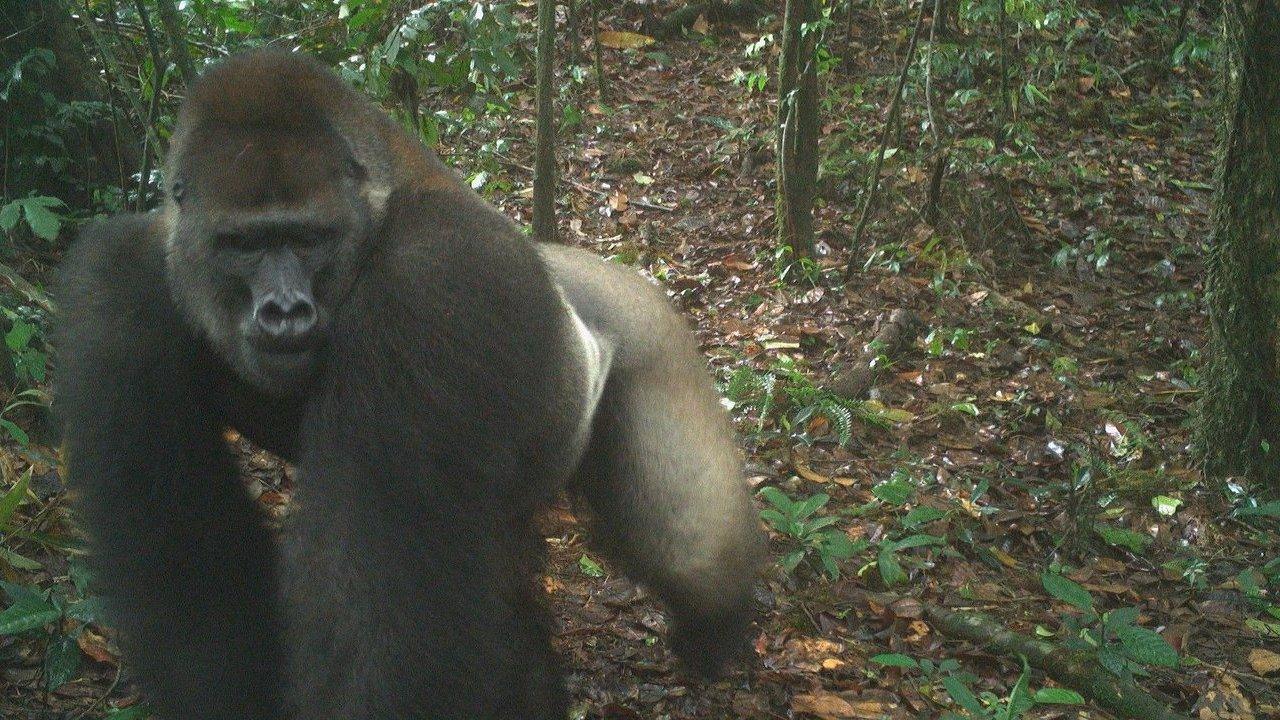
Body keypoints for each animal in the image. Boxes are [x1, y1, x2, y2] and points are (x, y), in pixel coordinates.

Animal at [55, 49, 762, 720]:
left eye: (309, 238)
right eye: (242, 244)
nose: (285, 311)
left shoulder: (435, 284)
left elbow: (391, 614)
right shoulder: (116, 288)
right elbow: (185, 560)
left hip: (652, 334)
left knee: (692, 554)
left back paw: (717, 629)